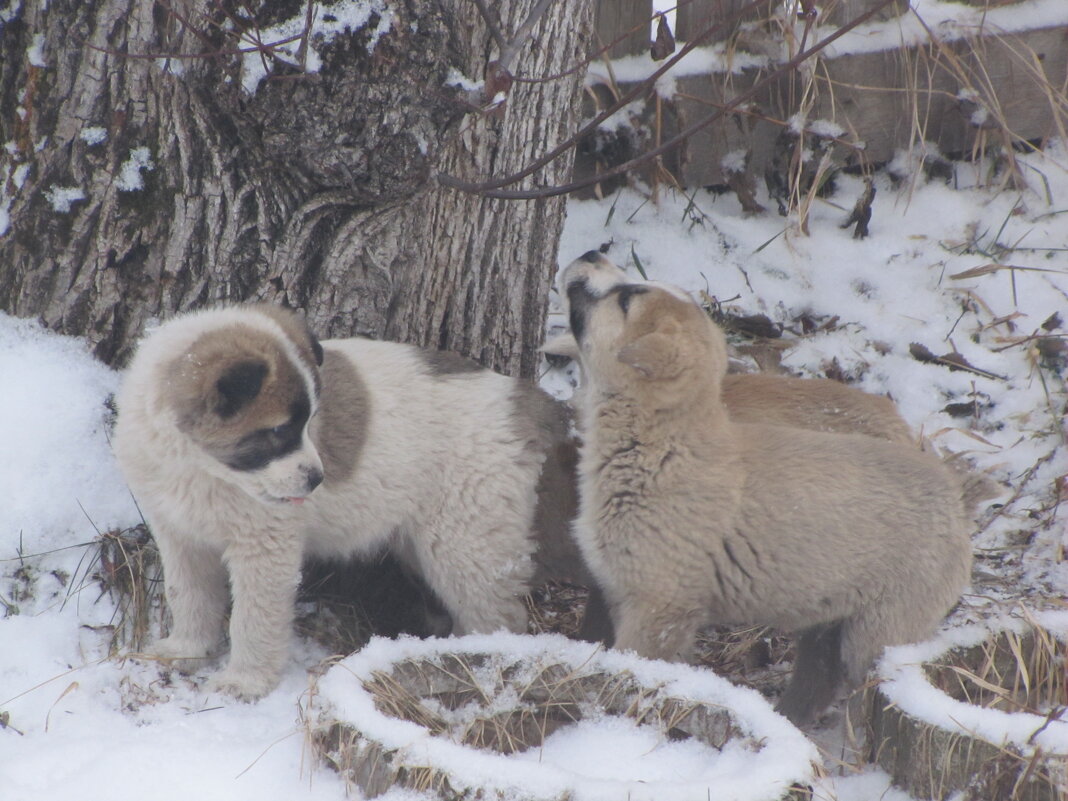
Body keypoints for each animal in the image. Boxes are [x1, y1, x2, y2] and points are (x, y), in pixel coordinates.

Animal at [113, 303, 572, 700]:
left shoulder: (264, 549)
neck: (199, 466)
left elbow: (252, 618)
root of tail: (524, 400)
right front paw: (186, 650)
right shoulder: (178, 534)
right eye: (280, 431)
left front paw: (244, 681)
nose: (318, 479)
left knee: (498, 619)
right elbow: (187, 595)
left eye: (309, 423)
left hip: (466, 545)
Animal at [572, 277, 974, 726]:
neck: (662, 450)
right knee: (817, 681)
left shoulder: (659, 608)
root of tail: (955, 500)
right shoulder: (623, 593)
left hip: (880, 630)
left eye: (625, 300)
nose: (577, 274)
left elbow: (632, 664)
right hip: (827, 624)